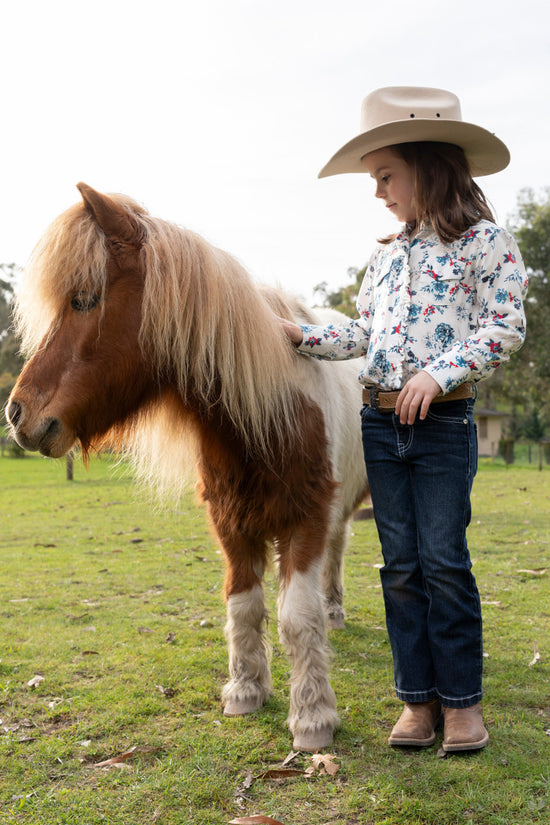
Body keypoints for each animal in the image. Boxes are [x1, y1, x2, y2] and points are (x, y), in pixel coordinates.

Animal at [6, 183, 368, 748]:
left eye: (84, 299)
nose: (17, 414)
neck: (267, 418)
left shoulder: (305, 520)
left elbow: (296, 615)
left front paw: (312, 717)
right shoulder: (230, 522)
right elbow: (244, 605)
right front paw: (245, 690)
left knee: (336, 553)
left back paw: (334, 611)